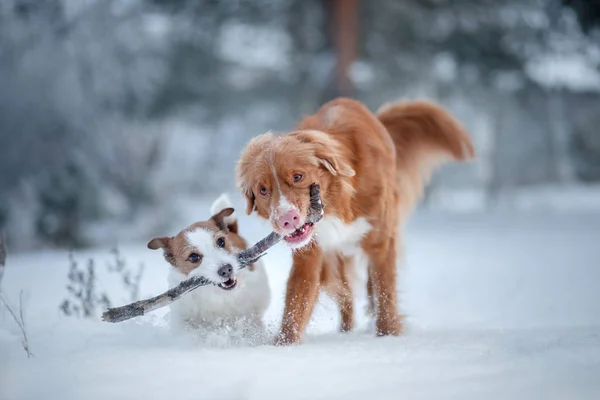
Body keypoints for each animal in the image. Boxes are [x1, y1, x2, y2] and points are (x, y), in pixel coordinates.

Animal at [234, 97, 474, 344]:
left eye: (298, 177)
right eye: (263, 190)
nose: (286, 219)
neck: (336, 203)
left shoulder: (381, 242)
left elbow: (386, 295)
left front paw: (388, 336)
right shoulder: (310, 256)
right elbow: (296, 303)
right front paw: (284, 344)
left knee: (371, 287)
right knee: (346, 298)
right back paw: (345, 332)